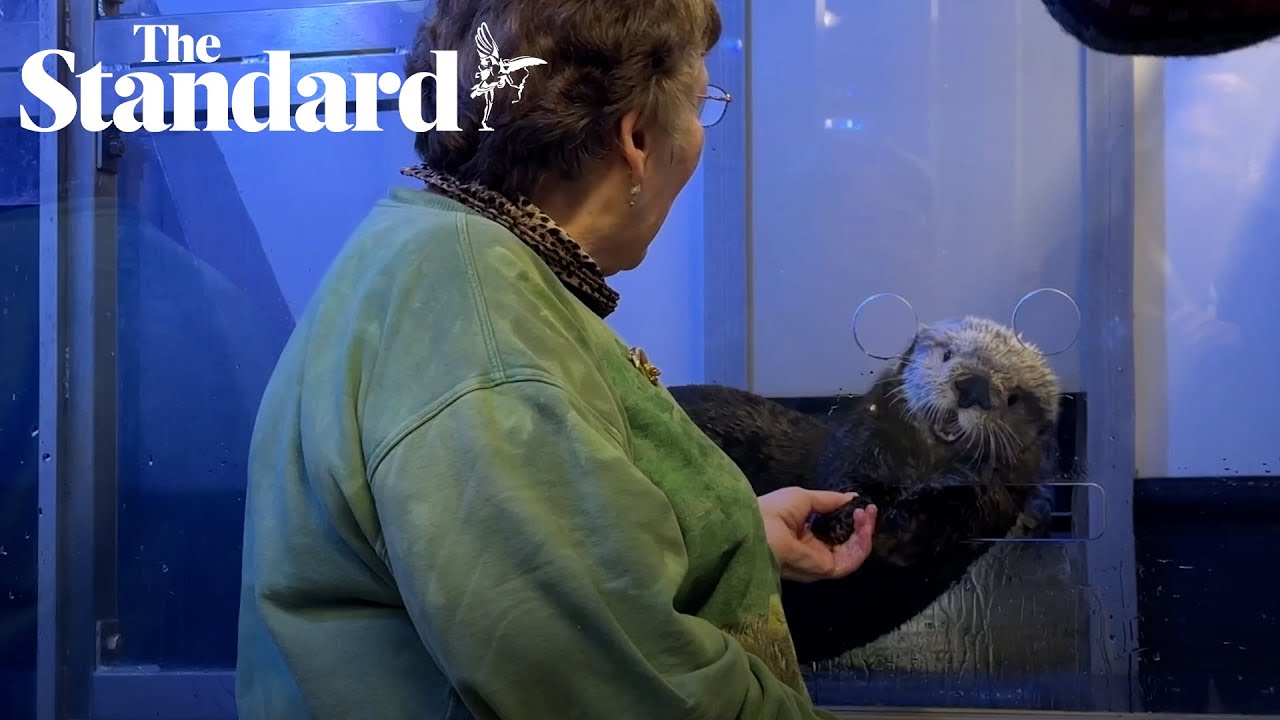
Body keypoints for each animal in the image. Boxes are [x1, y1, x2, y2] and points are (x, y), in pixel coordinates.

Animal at [670, 313, 1059, 661]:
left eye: (1014, 398)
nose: (972, 385)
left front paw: (906, 519)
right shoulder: (864, 439)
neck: (921, 467)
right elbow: (847, 474)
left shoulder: (992, 500)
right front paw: (840, 517)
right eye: (948, 354)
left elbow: (954, 517)